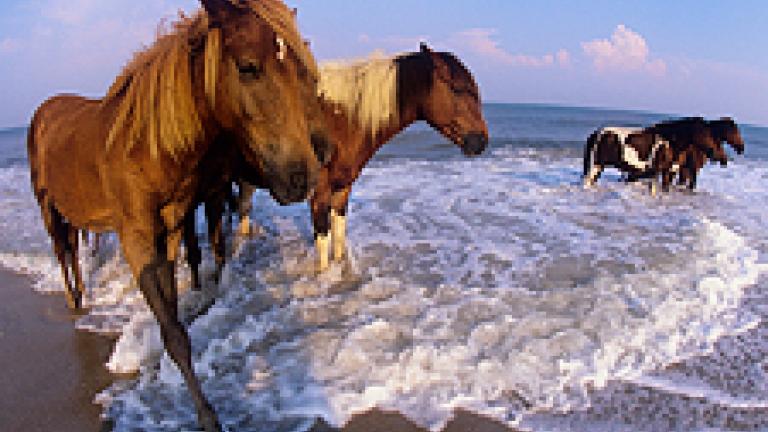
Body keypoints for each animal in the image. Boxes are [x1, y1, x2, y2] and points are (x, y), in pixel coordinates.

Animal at [27, 1, 332, 430]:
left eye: (301, 70)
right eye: (248, 67)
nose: (303, 174)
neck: (145, 147)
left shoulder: (170, 231)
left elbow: (175, 318)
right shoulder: (136, 238)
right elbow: (172, 329)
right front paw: (206, 415)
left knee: (71, 249)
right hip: (48, 208)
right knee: (61, 251)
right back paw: (73, 297)